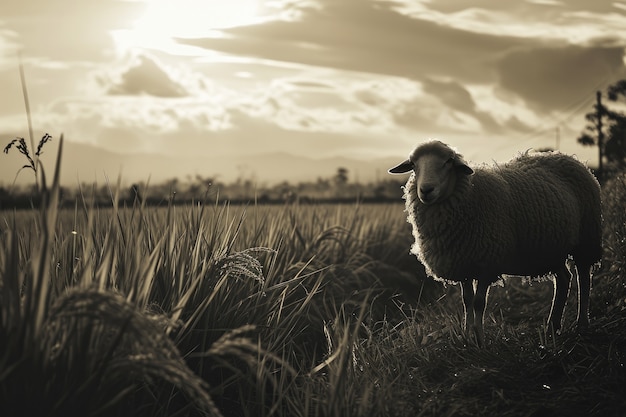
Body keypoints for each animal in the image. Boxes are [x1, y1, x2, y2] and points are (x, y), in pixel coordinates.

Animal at [386, 140, 600, 344]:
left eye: (448, 161)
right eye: (413, 164)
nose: (426, 190)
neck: (470, 195)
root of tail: (565, 156)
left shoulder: (487, 264)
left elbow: (479, 303)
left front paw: (480, 340)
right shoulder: (463, 264)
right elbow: (467, 301)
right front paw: (467, 337)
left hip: (586, 240)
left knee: (584, 279)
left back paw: (582, 324)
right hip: (552, 248)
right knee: (564, 278)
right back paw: (552, 328)